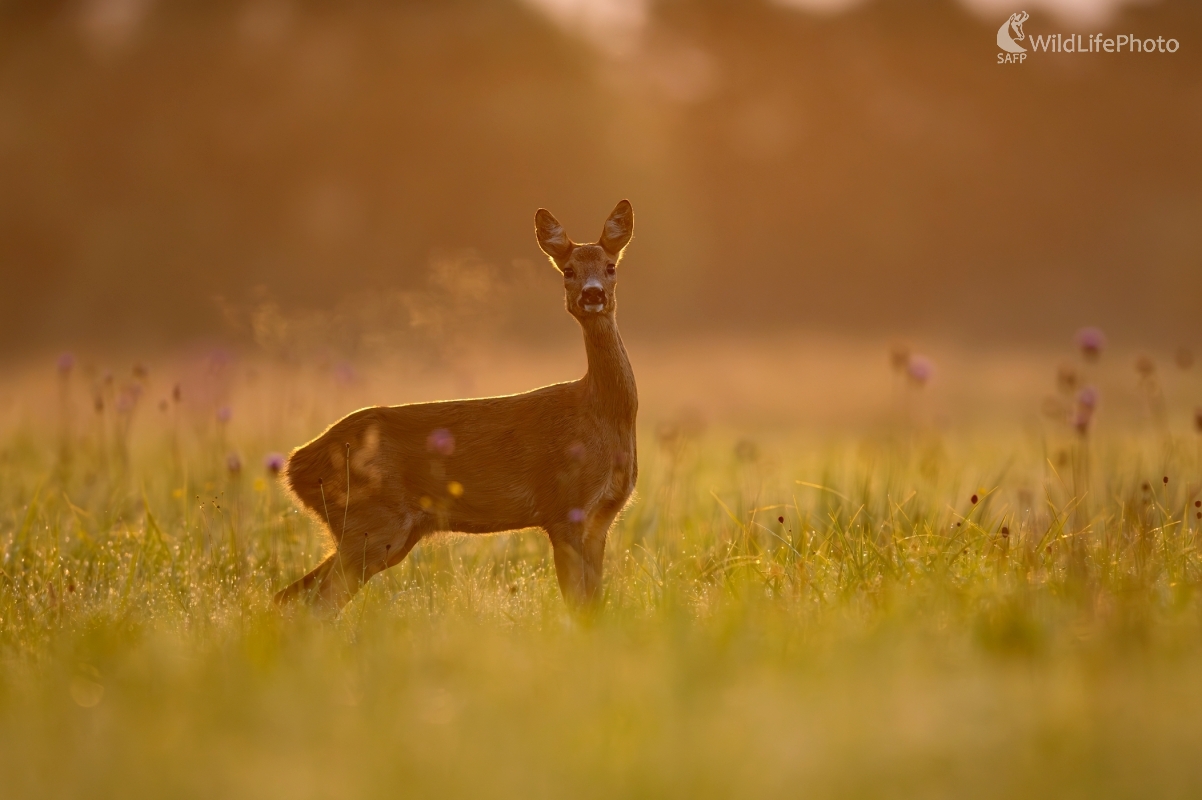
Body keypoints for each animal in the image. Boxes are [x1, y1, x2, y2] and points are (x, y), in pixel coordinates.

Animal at [276, 199, 639, 610]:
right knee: (316, 602)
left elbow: (593, 605)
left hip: (380, 532)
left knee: (289, 595)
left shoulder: (601, 519)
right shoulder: (563, 509)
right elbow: (579, 606)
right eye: (568, 271)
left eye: (610, 267)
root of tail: (294, 466)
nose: (592, 295)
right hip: (372, 522)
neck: (602, 414)